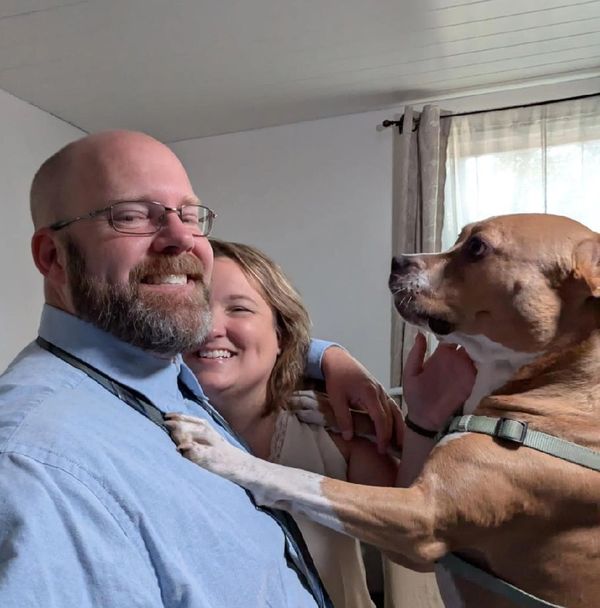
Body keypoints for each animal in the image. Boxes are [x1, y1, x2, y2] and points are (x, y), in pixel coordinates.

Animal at [166, 214, 600, 607]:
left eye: (477, 247)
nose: (397, 261)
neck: (551, 376)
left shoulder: (421, 518)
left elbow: (305, 480)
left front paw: (222, 450)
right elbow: (394, 426)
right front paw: (320, 405)